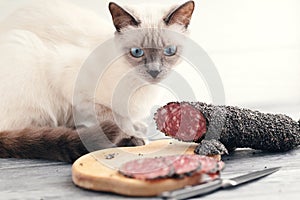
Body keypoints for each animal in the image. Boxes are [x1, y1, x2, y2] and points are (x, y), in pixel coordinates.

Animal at [0, 0, 195, 162]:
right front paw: (131, 136)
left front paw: (136, 128)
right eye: (137, 52)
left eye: (169, 50)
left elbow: (126, 117)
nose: (154, 72)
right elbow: (117, 118)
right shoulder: (79, 93)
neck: (140, 86)